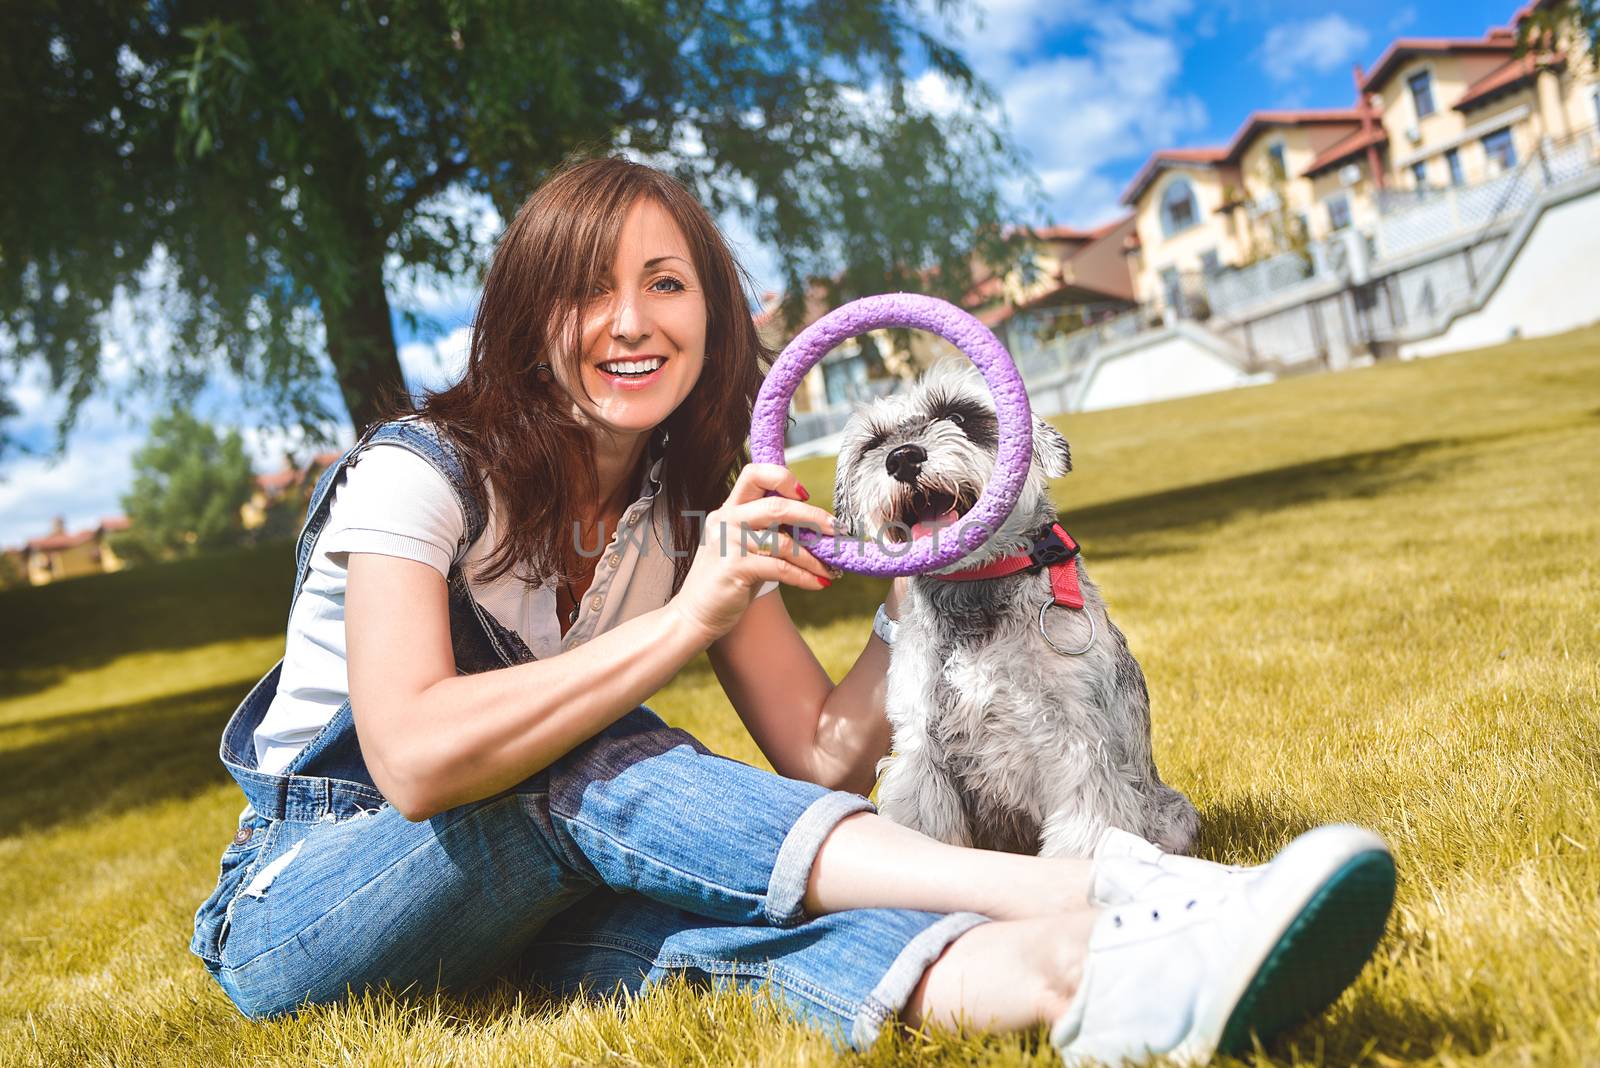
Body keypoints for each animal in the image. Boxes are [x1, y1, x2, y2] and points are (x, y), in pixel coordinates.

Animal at [838, 361, 1203, 856]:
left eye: (960, 415)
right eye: (874, 442)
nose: (902, 458)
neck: (976, 592)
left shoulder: (1075, 741)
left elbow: (1086, 827)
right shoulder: (920, 750)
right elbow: (925, 826)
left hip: (1174, 814)